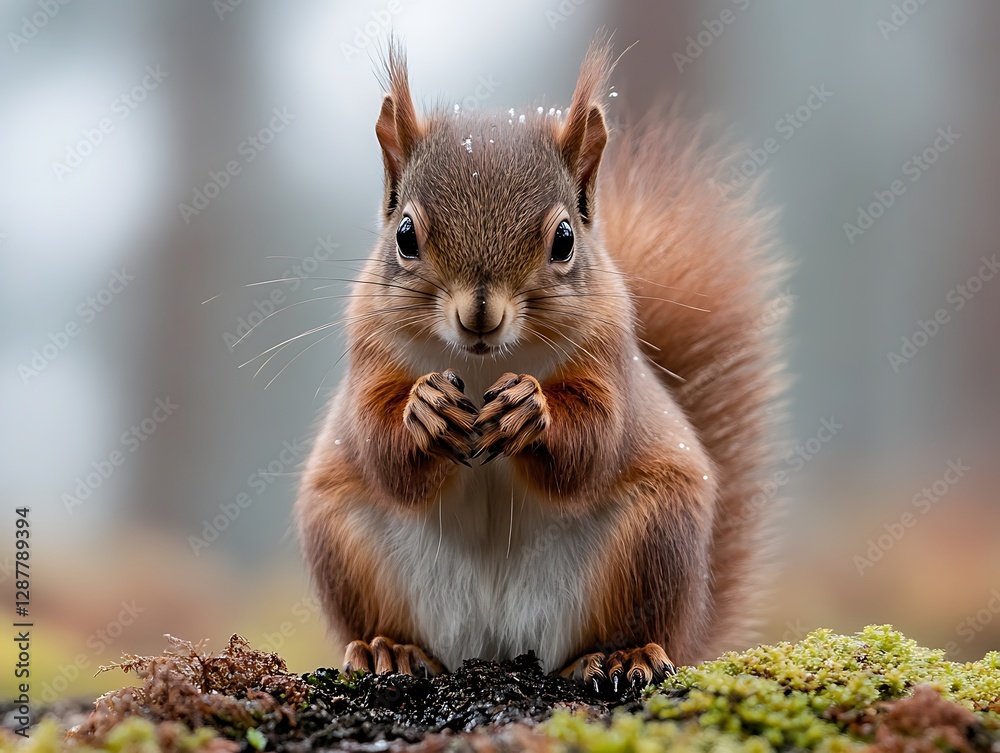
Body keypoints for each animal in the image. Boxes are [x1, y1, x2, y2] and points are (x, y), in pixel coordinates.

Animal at [295, 38, 788, 694]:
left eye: (564, 239)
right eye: (404, 234)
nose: (479, 314)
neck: (482, 366)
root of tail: (493, 645)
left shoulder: (609, 357)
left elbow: (596, 439)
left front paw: (532, 410)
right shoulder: (368, 355)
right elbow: (379, 444)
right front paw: (423, 409)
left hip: (652, 540)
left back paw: (620, 655)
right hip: (347, 543)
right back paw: (389, 649)